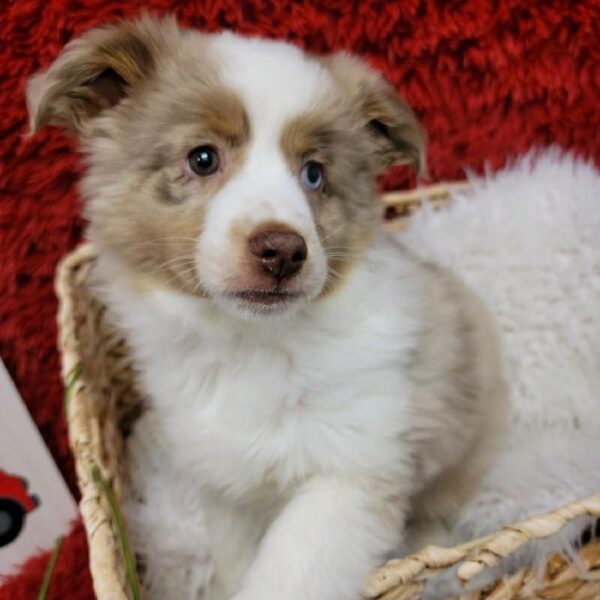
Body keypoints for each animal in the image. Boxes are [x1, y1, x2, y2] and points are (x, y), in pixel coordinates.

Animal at [28, 17, 506, 600]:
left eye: (314, 173)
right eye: (202, 158)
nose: (282, 251)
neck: (250, 344)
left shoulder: (351, 471)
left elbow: (285, 574)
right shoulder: (226, 479)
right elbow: (235, 559)